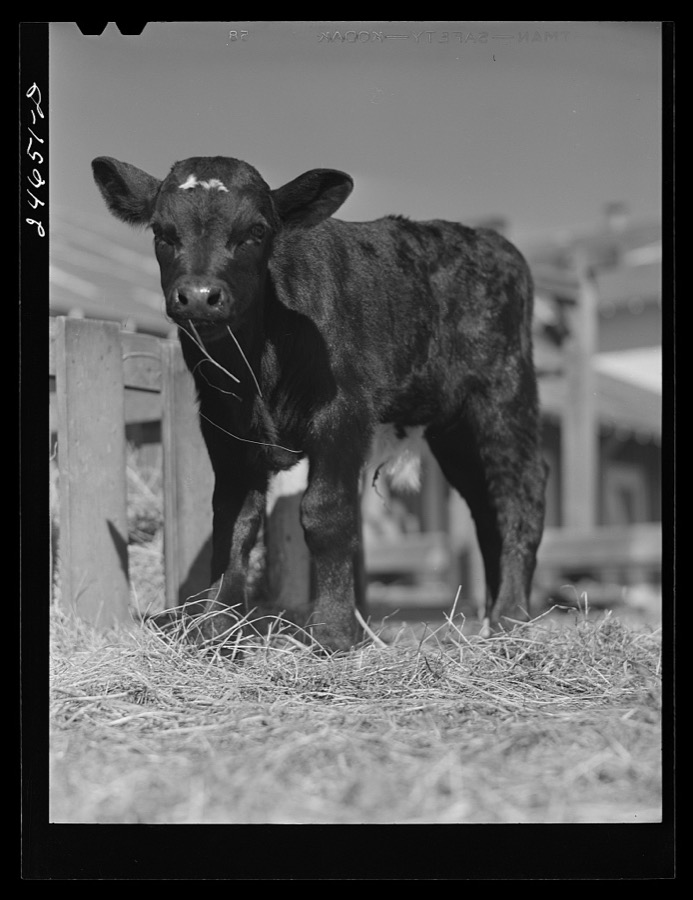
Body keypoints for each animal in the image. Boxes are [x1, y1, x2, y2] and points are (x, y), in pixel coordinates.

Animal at [92, 155, 547, 651]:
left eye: (256, 230)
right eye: (161, 231)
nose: (198, 296)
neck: (259, 366)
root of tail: (489, 239)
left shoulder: (342, 415)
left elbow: (326, 515)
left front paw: (333, 630)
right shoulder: (223, 429)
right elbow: (233, 521)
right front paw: (217, 626)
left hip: (503, 397)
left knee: (520, 496)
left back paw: (512, 619)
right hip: (454, 429)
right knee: (486, 508)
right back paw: (490, 619)